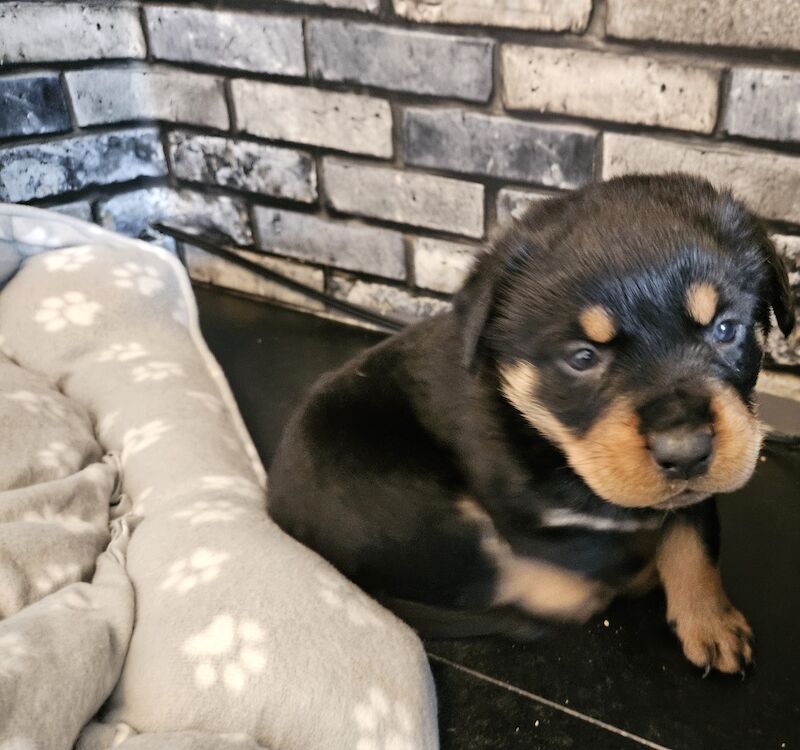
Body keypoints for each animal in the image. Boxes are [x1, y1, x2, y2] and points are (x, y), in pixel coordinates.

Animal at [268, 175, 792, 676]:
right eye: (582, 358)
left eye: (726, 329)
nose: (685, 450)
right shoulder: (519, 513)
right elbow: (590, 551)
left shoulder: (700, 487)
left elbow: (697, 539)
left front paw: (712, 622)